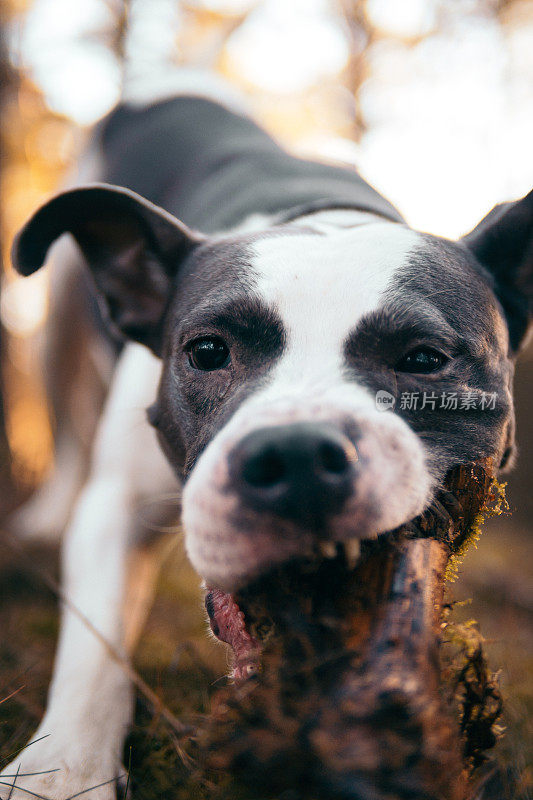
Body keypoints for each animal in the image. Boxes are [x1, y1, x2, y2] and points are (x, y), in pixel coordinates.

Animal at [2, 70, 528, 800]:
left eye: (424, 359)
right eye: (206, 351)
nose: (298, 454)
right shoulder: (115, 503)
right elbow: (94, 639)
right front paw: (61, 770)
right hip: (55, 327)